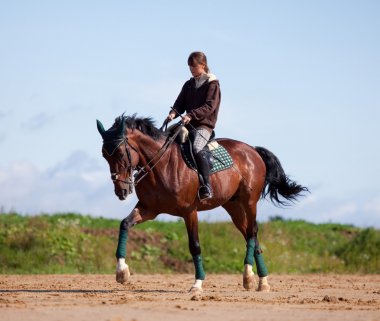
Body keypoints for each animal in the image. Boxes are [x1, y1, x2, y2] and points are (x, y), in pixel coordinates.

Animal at [96, 114, 308, 292]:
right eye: (105, 155)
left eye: (121, 153)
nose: (121, 191)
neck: (161, 165)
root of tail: (252, 150)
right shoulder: (149, 209)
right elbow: (125, 224)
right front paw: (122, 272)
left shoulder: (189, 212)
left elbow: (195, 246)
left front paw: (197, 284)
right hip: (234, 207)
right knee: (251, 235)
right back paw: (261, 281)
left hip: (249, 202)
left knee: (252, 232)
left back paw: (249, 277)